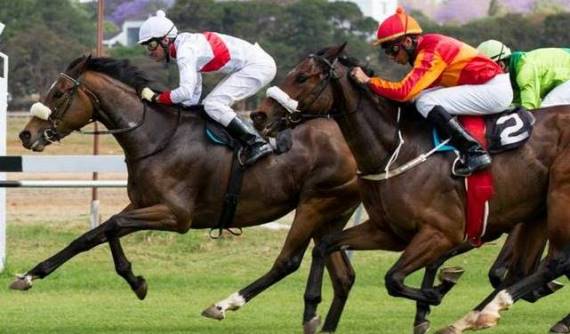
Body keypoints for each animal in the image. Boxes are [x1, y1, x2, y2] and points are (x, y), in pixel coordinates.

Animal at [12, 54, 360, 332]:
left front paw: (135, 280)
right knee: (341, 273)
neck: (156, 137)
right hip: (332, 210)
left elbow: (110, 225)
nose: (26, 134)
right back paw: (321, 322)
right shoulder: (141, 205)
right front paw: (31, 275)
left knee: (289, 261)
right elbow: (94, 234)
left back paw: (225, 305)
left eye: (58, 93)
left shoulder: (176, 215)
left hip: (315, 203)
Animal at [253, 43, 568, 332]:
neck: (396, 149)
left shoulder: (442, 233)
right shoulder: (388, 232)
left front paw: (436, 293)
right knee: (524, 269)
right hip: (537, 213)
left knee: (555, 261)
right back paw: (475, 316)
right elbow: (325, 247)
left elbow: (393, 279)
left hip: (559, 199)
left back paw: (487, 313)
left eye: (302, 77)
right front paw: (315, 316)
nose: (259, 115)